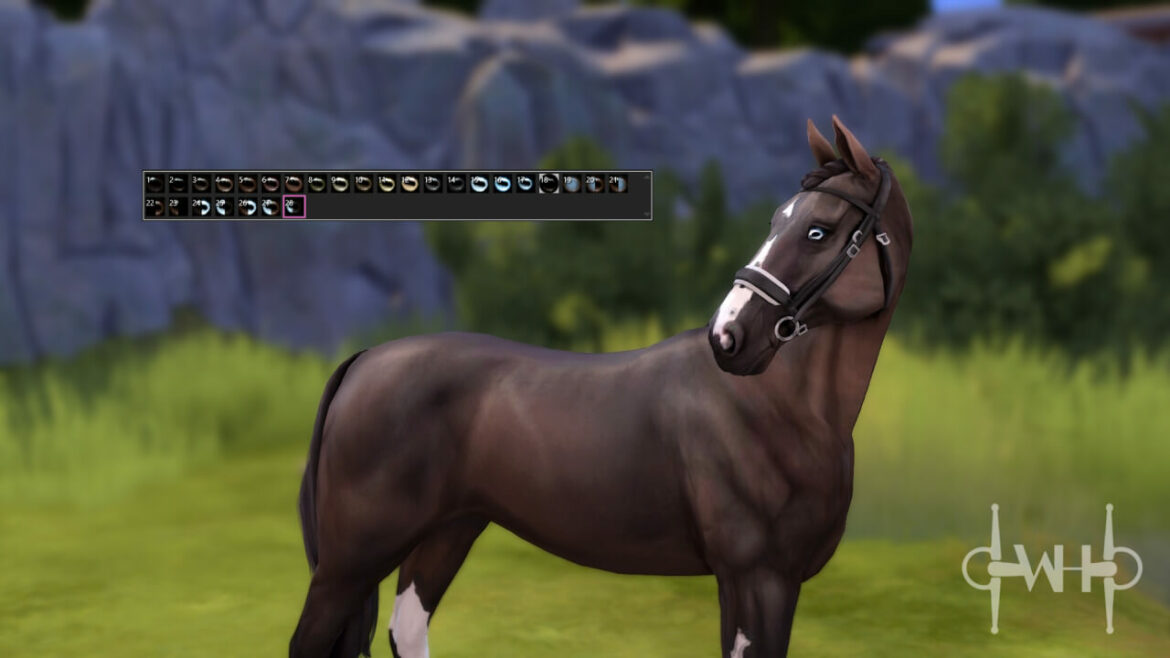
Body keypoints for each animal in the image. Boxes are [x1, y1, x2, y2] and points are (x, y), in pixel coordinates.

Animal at [289, 115, 913, 658]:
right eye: (777, 223)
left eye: (818, 230)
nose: (728, 335)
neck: (786, 409)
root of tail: (363, 360)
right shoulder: (755, 576)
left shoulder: (776, 581)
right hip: (352, 559)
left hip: (447, 533)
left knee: (407, 629)